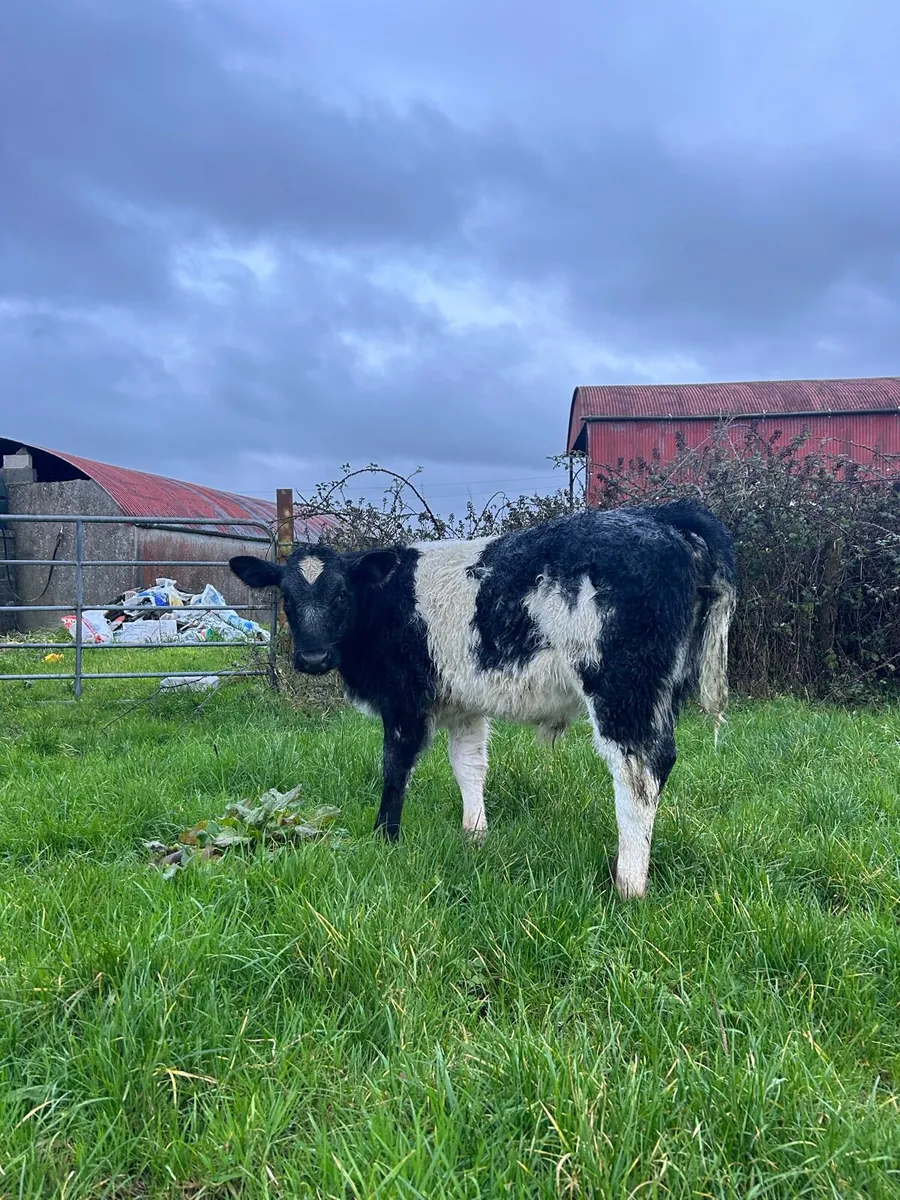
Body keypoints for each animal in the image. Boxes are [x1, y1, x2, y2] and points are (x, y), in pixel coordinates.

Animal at [229, 499, 736, 899]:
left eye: (340, 594)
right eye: (286, 598)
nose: (312, 658)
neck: (386, 603)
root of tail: (662, 518)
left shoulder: (405, 699)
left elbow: (395, 768)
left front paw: (385, 837)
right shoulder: (463, 704)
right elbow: (469, 765)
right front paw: (475, 836)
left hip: (623, 689)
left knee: (637, 772)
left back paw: (629, 885)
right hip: (664, 692)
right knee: (659, 764)